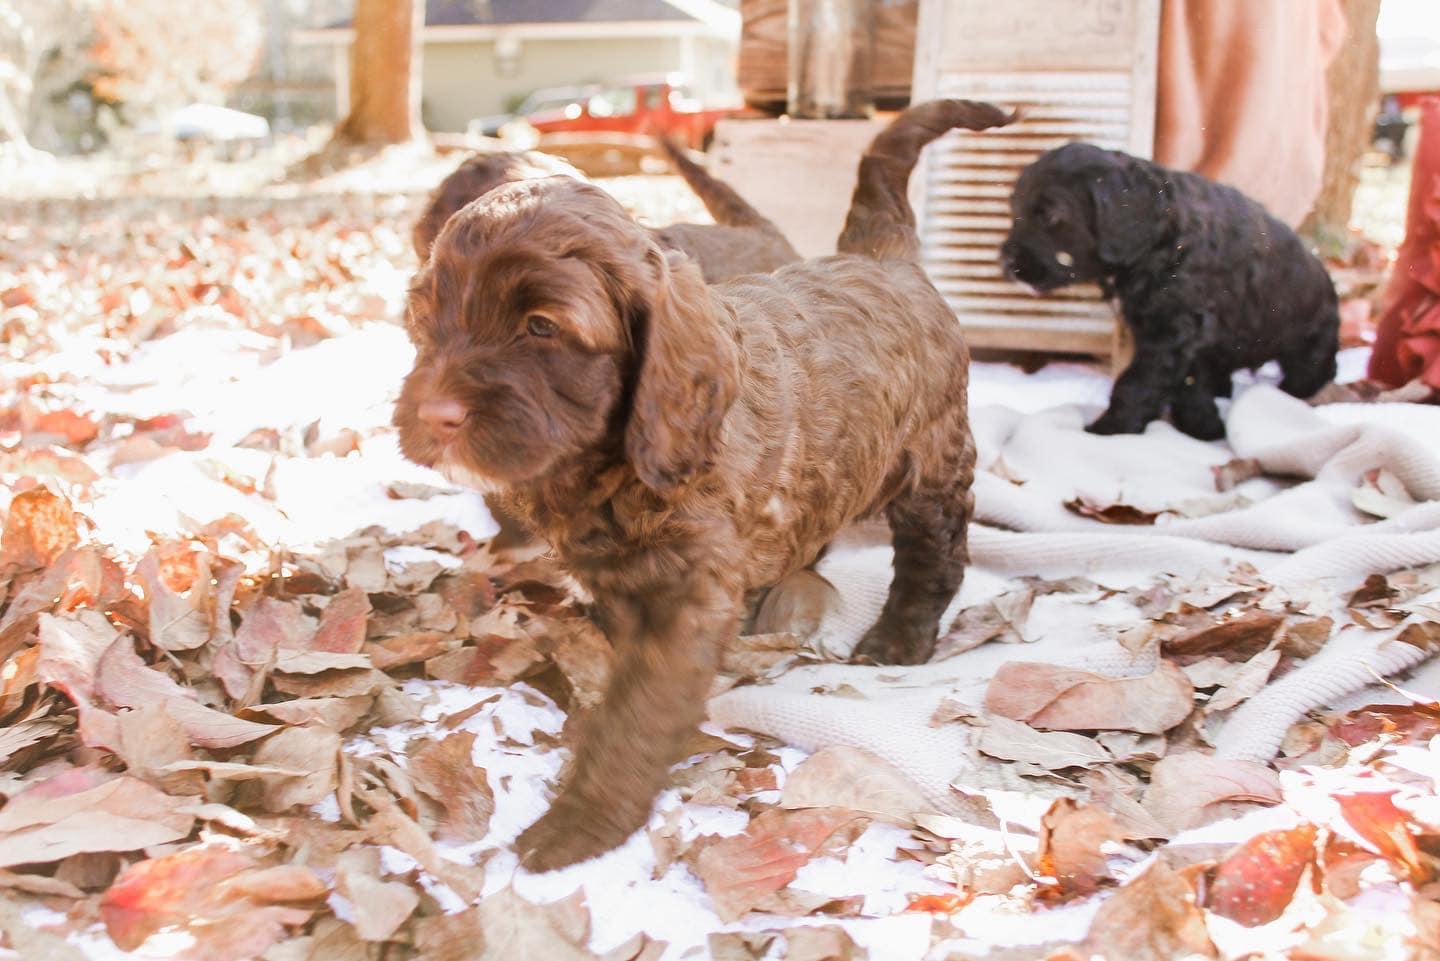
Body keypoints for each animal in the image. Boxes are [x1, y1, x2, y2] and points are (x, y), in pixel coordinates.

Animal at [394, 99, 1012, 871]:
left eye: (540, 326)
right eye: (426, 318)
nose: (433, 413)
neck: (616, 461)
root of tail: (883, 254)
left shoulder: (687, 597)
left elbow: (636, 713)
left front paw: (582, 822)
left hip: (932, 461)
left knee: (936, 556)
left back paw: (897, 639)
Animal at [1000, 143, 1340, 440]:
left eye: (1051, 215)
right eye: (1015, 209)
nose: (1009, 263)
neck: (1159, 240)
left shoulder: (1172, 331)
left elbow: (1138, 382)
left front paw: (1109, 429)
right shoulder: (1190, 341)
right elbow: (1190, 384)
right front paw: (1204, 427)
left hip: (1310, 340)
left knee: (1314, 370)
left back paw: (1296, 393)